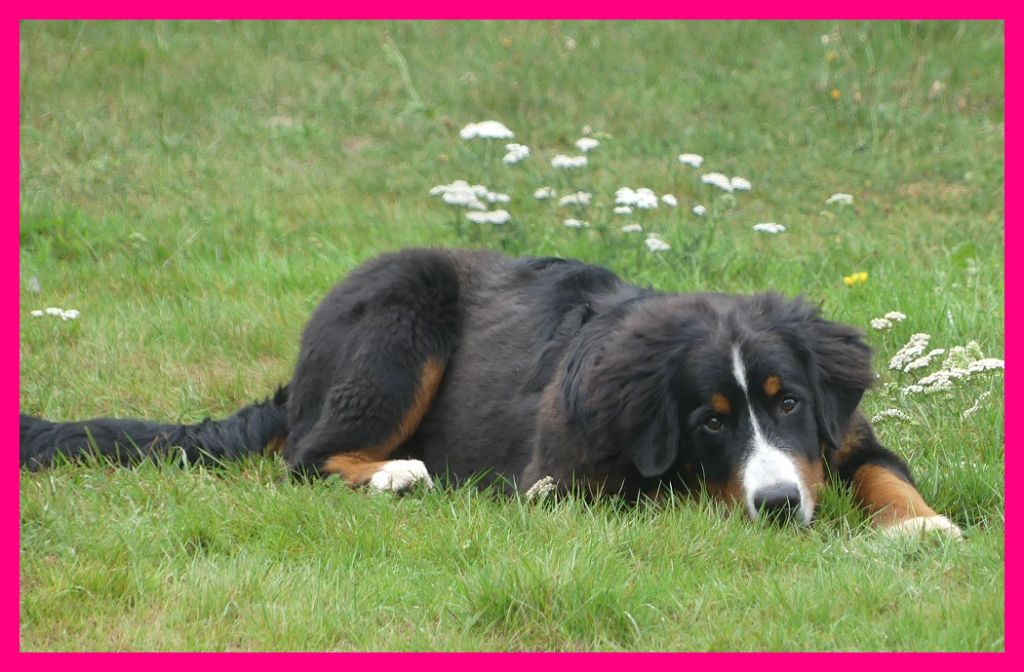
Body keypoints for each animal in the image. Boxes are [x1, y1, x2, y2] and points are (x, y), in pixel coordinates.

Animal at [20, 248, 961, 537]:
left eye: (789, 402)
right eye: (709, 421)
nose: (776, 505)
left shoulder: (842, 432)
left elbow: (882, 471)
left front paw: (923, 525)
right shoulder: (560, 480)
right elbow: (664, 493)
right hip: (402, 320)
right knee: (307, 456)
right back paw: (396, 473)